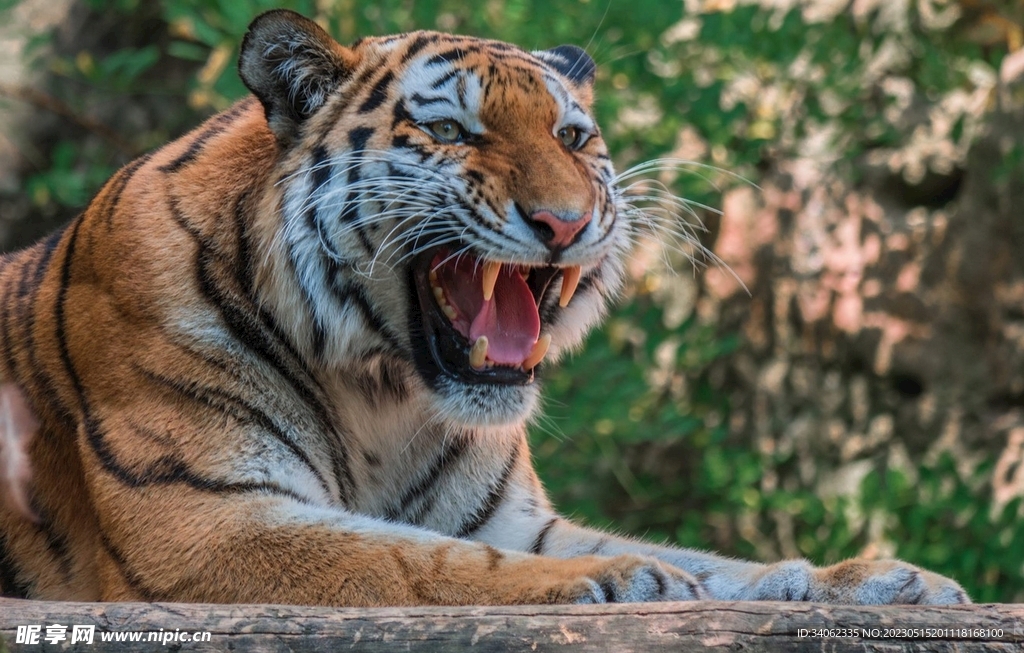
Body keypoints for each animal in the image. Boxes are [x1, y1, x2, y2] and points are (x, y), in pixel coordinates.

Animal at [0, 9, 969, 606]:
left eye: (572, 137)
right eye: (450, 132)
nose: (565, 221)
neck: (381, 394)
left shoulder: (511, 518)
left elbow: (718, 563)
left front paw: (880, 582)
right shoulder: (206, 521)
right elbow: (407, 556)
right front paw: (631, 578)